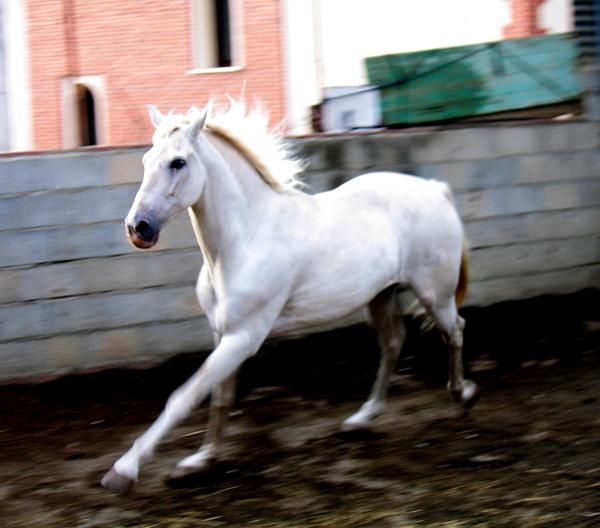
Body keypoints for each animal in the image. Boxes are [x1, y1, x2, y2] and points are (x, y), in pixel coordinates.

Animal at [102, 103, 478, 496]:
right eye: (146, 160)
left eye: (177, 162)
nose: (137, 228)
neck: (246, 240)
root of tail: (435, 190)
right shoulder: (223, 335)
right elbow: (219, 395)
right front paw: (201, 459)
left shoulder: (243, 338)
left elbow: (184, 396)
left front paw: (123, 471)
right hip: (379, 295)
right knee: (393, 343)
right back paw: (362, 417)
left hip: (434, 292)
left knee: (454, 329)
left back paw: (463, 394)